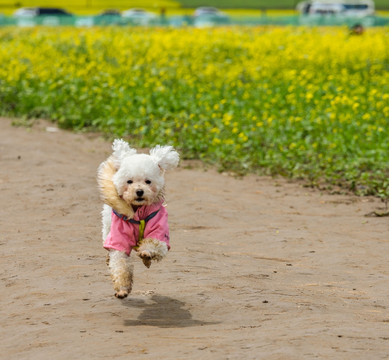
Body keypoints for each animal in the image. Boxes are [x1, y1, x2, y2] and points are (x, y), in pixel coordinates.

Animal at [99, 140, 180, 298]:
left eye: (148, 181)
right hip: (107, 226)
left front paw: (147, 253)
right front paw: (122, 288)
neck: (139, 211)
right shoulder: (118, 235)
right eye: (129, 181)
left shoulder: (159, 230)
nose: (139, 191)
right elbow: (119, 262)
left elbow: (154, 243)